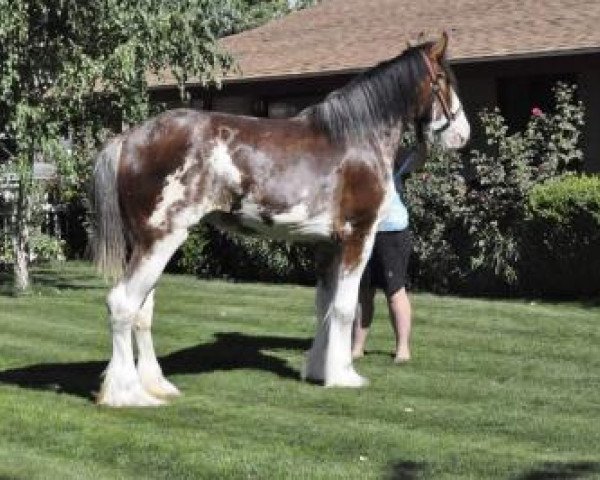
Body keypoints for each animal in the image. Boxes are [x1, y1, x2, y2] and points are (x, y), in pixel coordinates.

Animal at [92, 32, 468, 404]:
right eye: (445, 79)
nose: (463, 134)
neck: (356, 139)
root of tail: (128, 139)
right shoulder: (357, 236)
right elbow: (345, 309)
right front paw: (344, 376)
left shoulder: (327, 246)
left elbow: (325, 307)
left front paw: (318, 371)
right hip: (160, 240)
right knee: (122, 304)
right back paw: (127, 394)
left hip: (150, 244)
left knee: (143, 311)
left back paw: (155, 384)